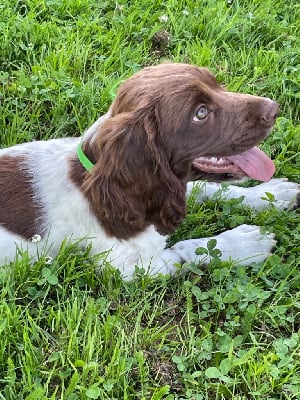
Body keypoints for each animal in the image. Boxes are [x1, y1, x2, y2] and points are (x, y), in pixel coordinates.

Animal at [0, 64, 298, 280]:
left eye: (217, 84)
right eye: (200, 113)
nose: (273, 109)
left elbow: (209, 187)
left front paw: (272, 194)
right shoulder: (126, 265)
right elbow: (188, 248)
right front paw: (246, 242)